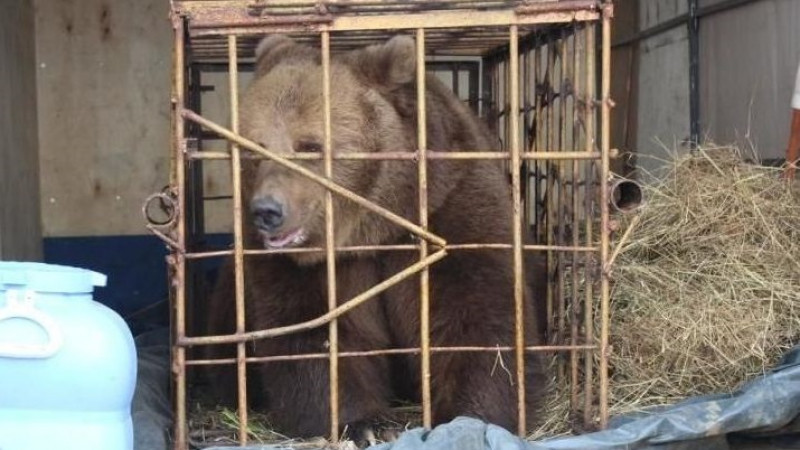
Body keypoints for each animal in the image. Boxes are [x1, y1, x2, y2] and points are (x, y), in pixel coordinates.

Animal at [203, 34, 548, 440]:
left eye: (310, 146)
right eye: (253, 150)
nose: (268, 211)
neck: (374, 226)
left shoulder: (450, 209)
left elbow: (474, 314)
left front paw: (470, 416)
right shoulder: (305, 266)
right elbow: (314, 329)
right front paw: (362, 423)